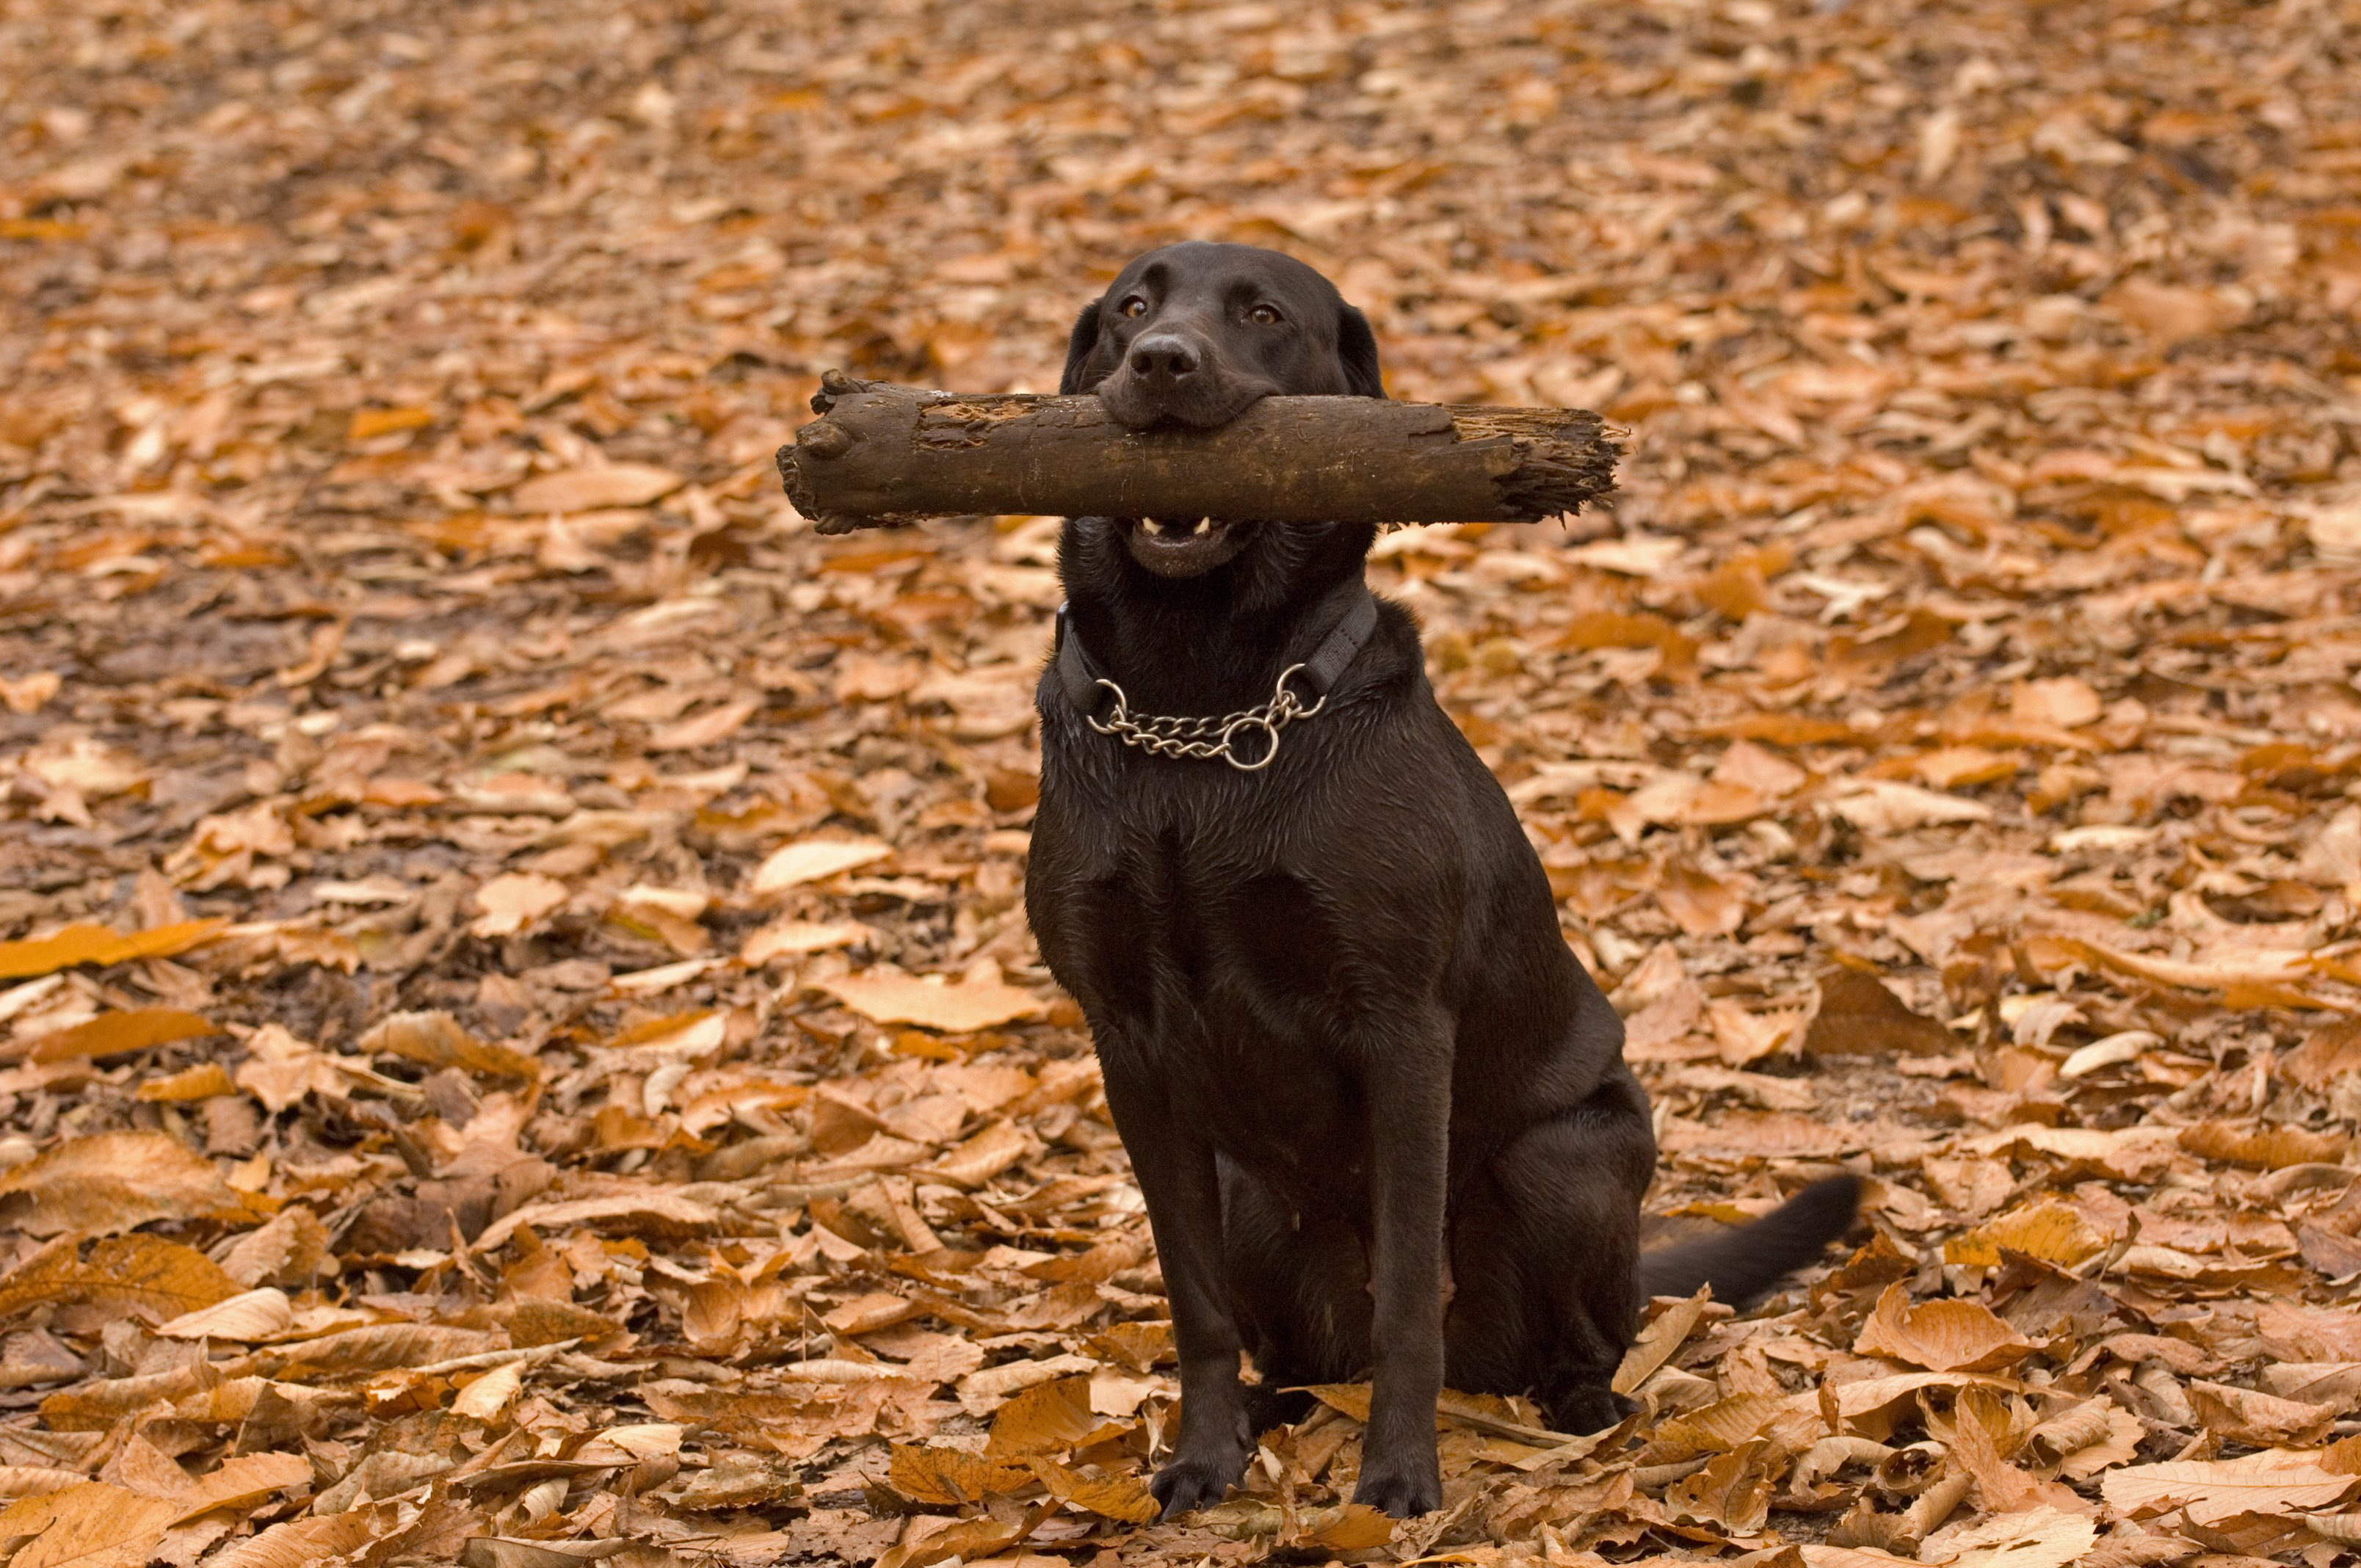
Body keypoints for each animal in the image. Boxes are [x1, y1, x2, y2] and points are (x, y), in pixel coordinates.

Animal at [1029, 242, 1860, 1520]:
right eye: (1131, 306)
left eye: (1262, 314)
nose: (1162, 362)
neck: (1199, 709)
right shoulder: (1126, 1045)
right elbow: (1194, 1301)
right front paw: (1203, 1459)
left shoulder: (1402, 1025)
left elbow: (1411, 1292)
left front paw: (1398, 1478)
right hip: (1249, 1196)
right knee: (1293, 1347)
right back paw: (1273, 1410)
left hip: (1563, 1162)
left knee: (1580, 1336)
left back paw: (1582, 1409)